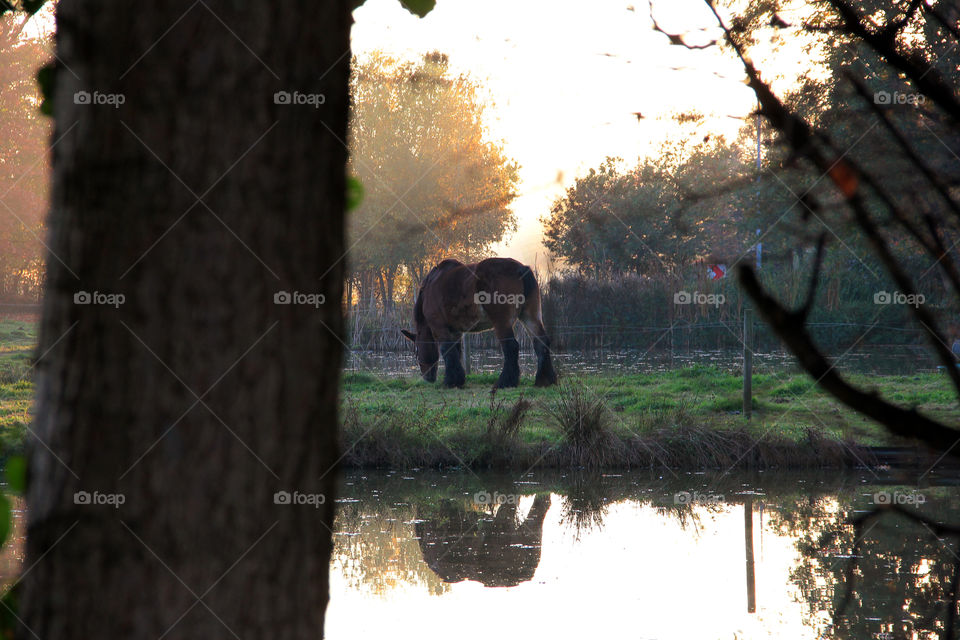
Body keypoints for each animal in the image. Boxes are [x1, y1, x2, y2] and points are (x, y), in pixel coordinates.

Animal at [402, 256, 560, 388]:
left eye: (416, 352)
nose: (427, 378)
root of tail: (521, 268)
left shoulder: (440, 328)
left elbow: (447, 351)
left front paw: (449, 382)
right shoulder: (456, 331)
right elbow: (456, 352)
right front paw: (458, 379)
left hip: (502, 322)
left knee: (511, 347)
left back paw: (505, 382)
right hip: (530, 316)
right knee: (541, 342)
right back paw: (544, 380)